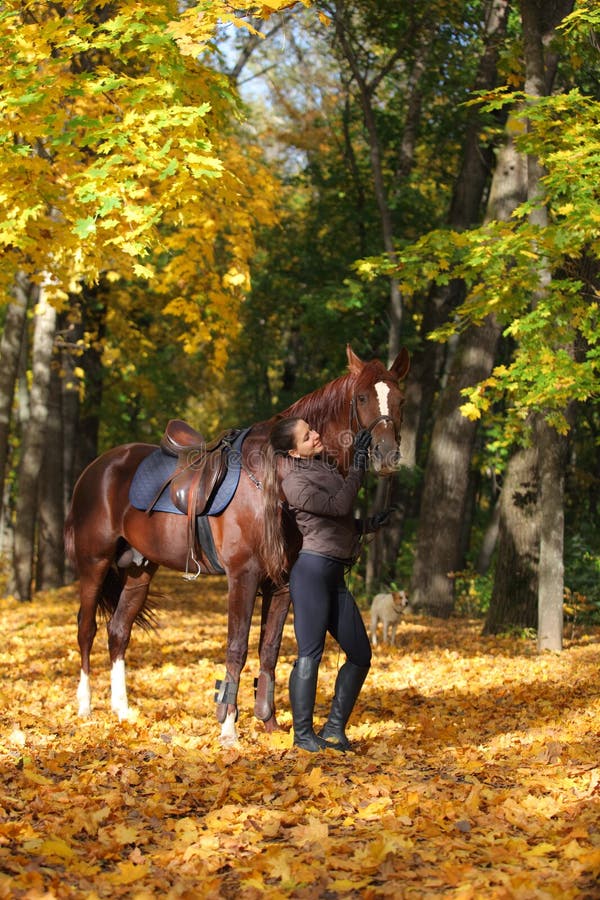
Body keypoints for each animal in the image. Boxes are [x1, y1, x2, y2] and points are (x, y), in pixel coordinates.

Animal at [67, 344, 412, 740]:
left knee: (118, 631)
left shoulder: (281, 584)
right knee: (87, 628)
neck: (274, 475)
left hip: (140, 570)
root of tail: (98, 468)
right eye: (361, 397)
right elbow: (237, 648)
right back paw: (85, 706)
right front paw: (229, 728)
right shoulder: (242, 576)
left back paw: (122, 710)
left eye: (400, 399)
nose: (386, 455)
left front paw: (269, 723)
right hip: (93, 563)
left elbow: (269, 649)